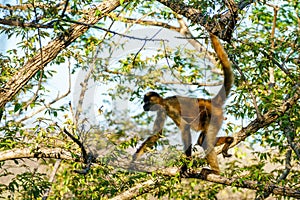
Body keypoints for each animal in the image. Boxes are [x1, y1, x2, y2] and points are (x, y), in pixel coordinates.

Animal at [134, 33, 234, 176]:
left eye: (146, 102)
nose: (143, 106)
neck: (163, 101)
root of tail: (211, 101)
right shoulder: (162, 111)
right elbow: (157, 134)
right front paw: (134, 158)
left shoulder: (168, 108)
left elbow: (185, 128)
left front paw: (186, 165)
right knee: (202, 140)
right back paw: (229, 140)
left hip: (213, 116)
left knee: (204, 140)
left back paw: (215, 172)